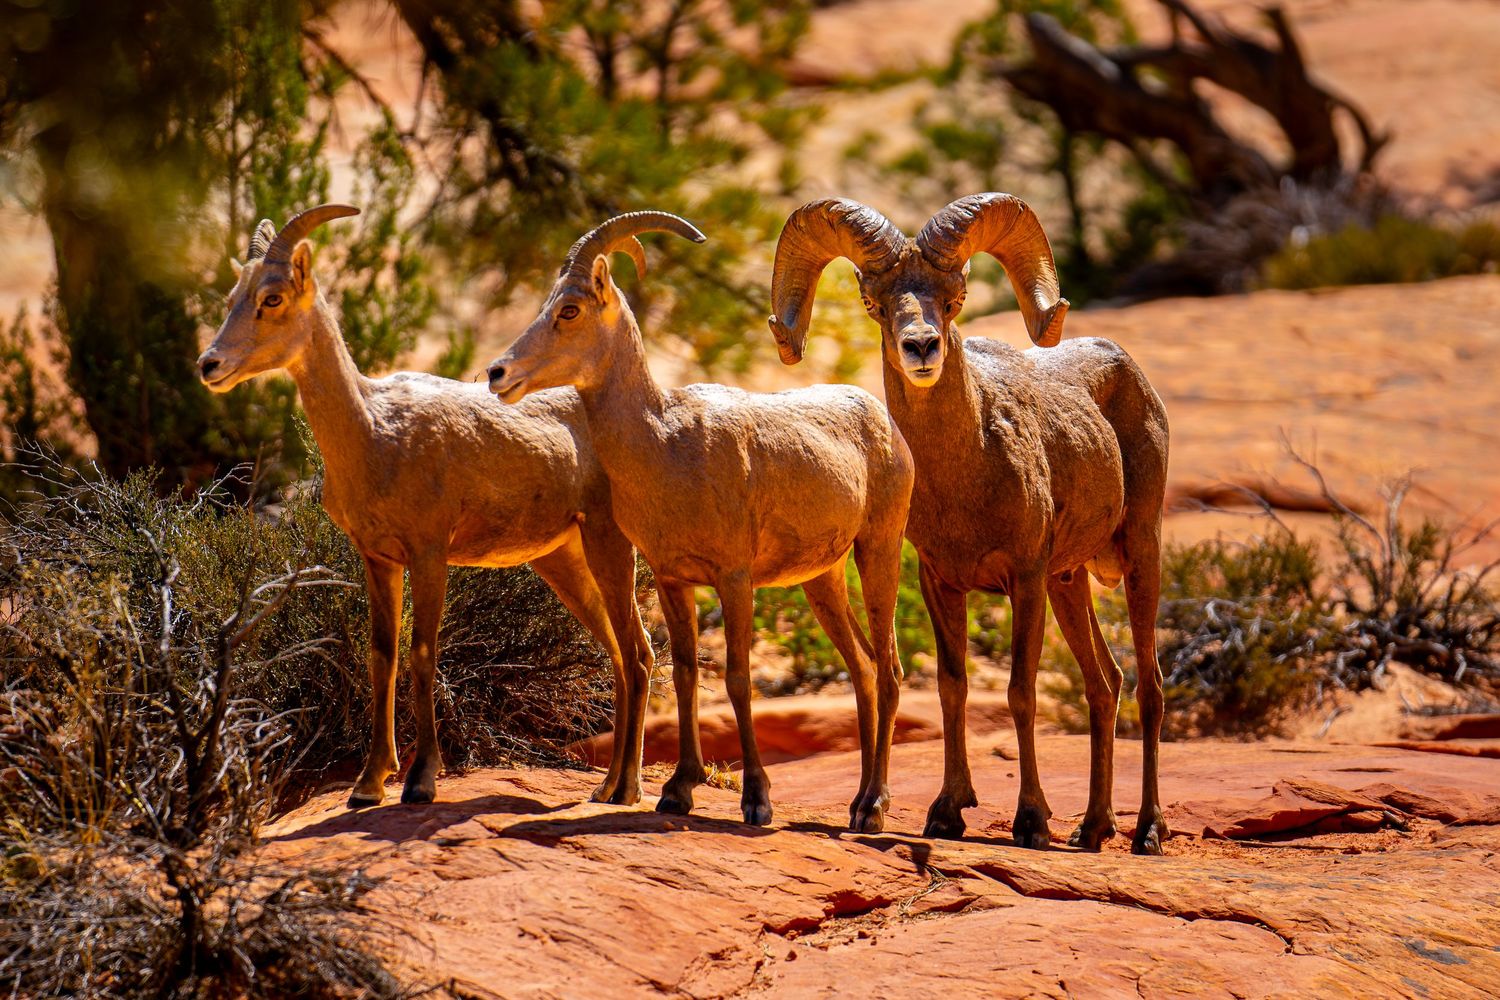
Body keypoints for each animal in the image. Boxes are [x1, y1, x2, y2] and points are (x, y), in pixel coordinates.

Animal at [197, 204, 654, 808]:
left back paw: (626, 790)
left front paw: (420, 780)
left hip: (609, 545)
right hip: (562, 560)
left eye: (272, 298)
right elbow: (381, 656)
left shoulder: (430, 553)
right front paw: (368, 783)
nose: (210, 364)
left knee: (639, 650)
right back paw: (606, 787)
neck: (373, 431)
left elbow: (422, 652)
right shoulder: (378, 558)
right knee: (618, 652)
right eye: (233, 296)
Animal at [486, 211, 915, 832]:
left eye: (569, 309)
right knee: (860, 666)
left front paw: (756, 801)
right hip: (823, 580)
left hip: (878, 549)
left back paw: (873, 810)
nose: (498, 373)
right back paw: (857, 802)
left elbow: (736, 678)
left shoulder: (734, 579)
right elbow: (689, 673)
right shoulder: (674, 580)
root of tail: (884, 422)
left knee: (888, 669)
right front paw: (677, 790)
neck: (666, 444)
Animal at [768, 194, 1171, 854]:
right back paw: (1091, 828)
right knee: (1105, 684)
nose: (922, 347)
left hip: (1140, 554)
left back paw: (1148, 832)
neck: (967, 478)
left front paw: (1031, 821)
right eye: (876, 304)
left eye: (953, 297)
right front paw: (946, 812)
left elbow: (1020, 693)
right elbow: (951, 687)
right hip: (1070, 583)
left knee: (1151, 686)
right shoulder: (943, 583)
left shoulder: (1025, 581)